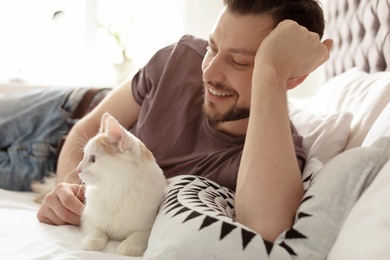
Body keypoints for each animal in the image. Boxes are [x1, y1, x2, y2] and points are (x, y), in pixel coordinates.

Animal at [77, 112, 166, 256]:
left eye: (93, 159)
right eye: (84, 155)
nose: (77, 169)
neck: (115, 191)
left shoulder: (148, 226)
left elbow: (137, 235)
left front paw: (129, 246)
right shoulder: (87, 217)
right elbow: (97, 230)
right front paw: (93, 241)